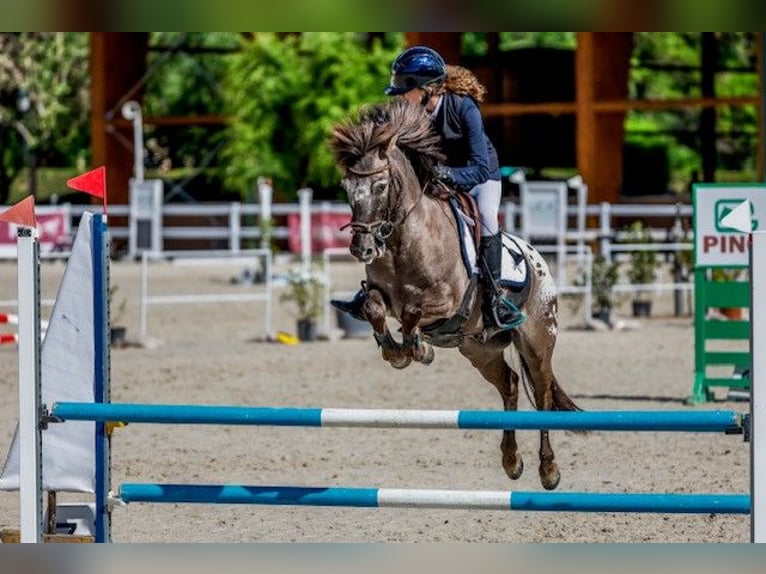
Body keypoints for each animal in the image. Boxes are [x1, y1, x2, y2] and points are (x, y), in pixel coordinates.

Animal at [330, 98, 584, 490]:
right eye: (346, 185)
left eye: (381, 185)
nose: (362, 248)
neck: (403, 240)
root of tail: (538, 259)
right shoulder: (380, 295)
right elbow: (374, 309)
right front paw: (397, 352)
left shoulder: (448, 301)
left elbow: (413, 311)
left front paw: (418, 349)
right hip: (479, 349)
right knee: (510, 384)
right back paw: (511, 461)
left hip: (538, 342)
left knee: (541, 395)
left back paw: (548, 470)